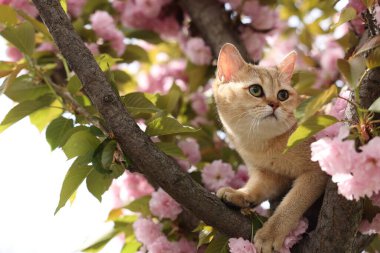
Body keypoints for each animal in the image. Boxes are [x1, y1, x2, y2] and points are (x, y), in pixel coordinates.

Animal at [212, 43, 328, 253]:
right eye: (255, 90)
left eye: (283, 95)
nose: (274, 104)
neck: (264, 147)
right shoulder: (270, 175)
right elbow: (257, 188)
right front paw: (240, 194)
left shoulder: (316, 172)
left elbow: (290, 205)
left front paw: (270, 234)